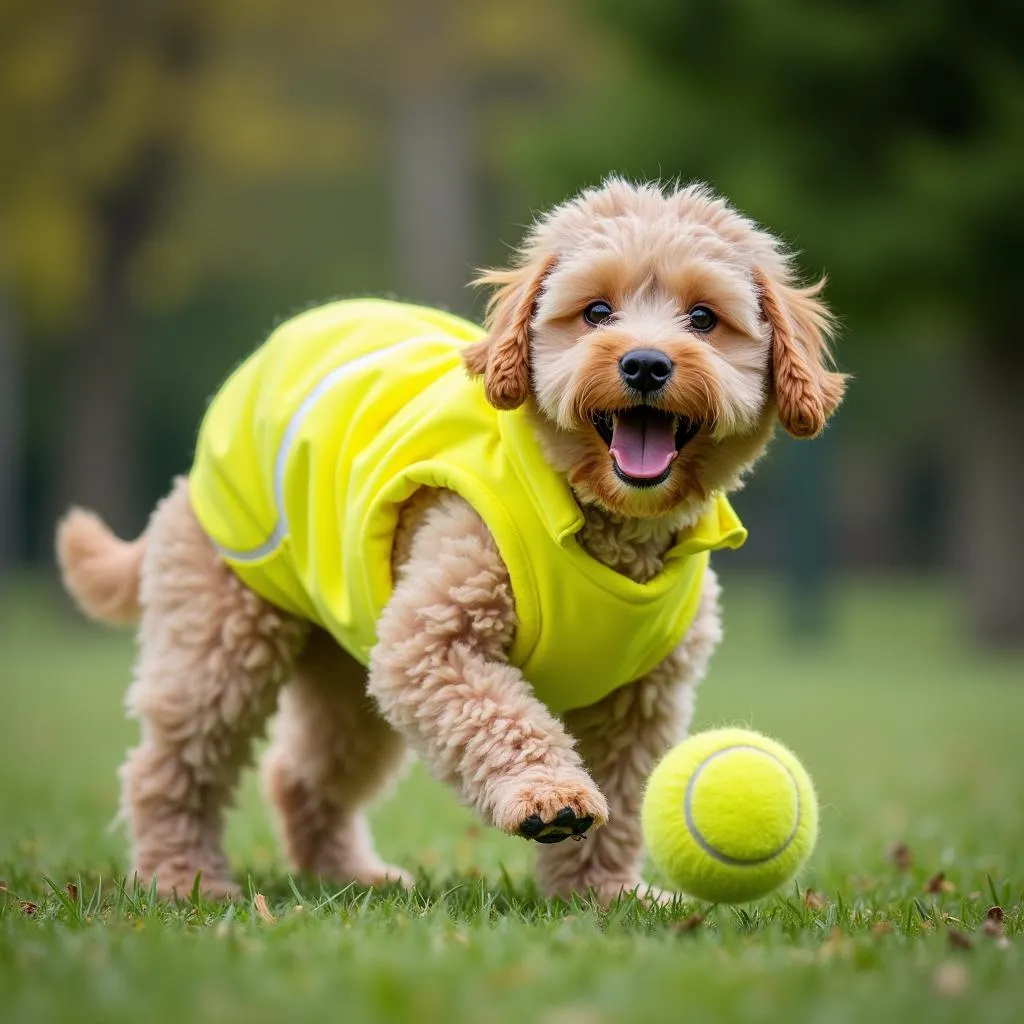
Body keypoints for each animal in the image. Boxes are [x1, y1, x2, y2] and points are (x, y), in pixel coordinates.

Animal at [54, 178, 839, 905]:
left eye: (704, 318)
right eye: (596, 312)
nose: (645, 364)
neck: (597, 515)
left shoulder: (638, 696)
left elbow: (618, 799)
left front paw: (602, 893)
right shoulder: (434, 638)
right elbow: (503, 717)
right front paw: (551, 796)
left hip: (346, 668)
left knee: (302, 772)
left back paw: (346, 874)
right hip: (221, 630)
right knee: (169, 764)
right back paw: (180, 878)